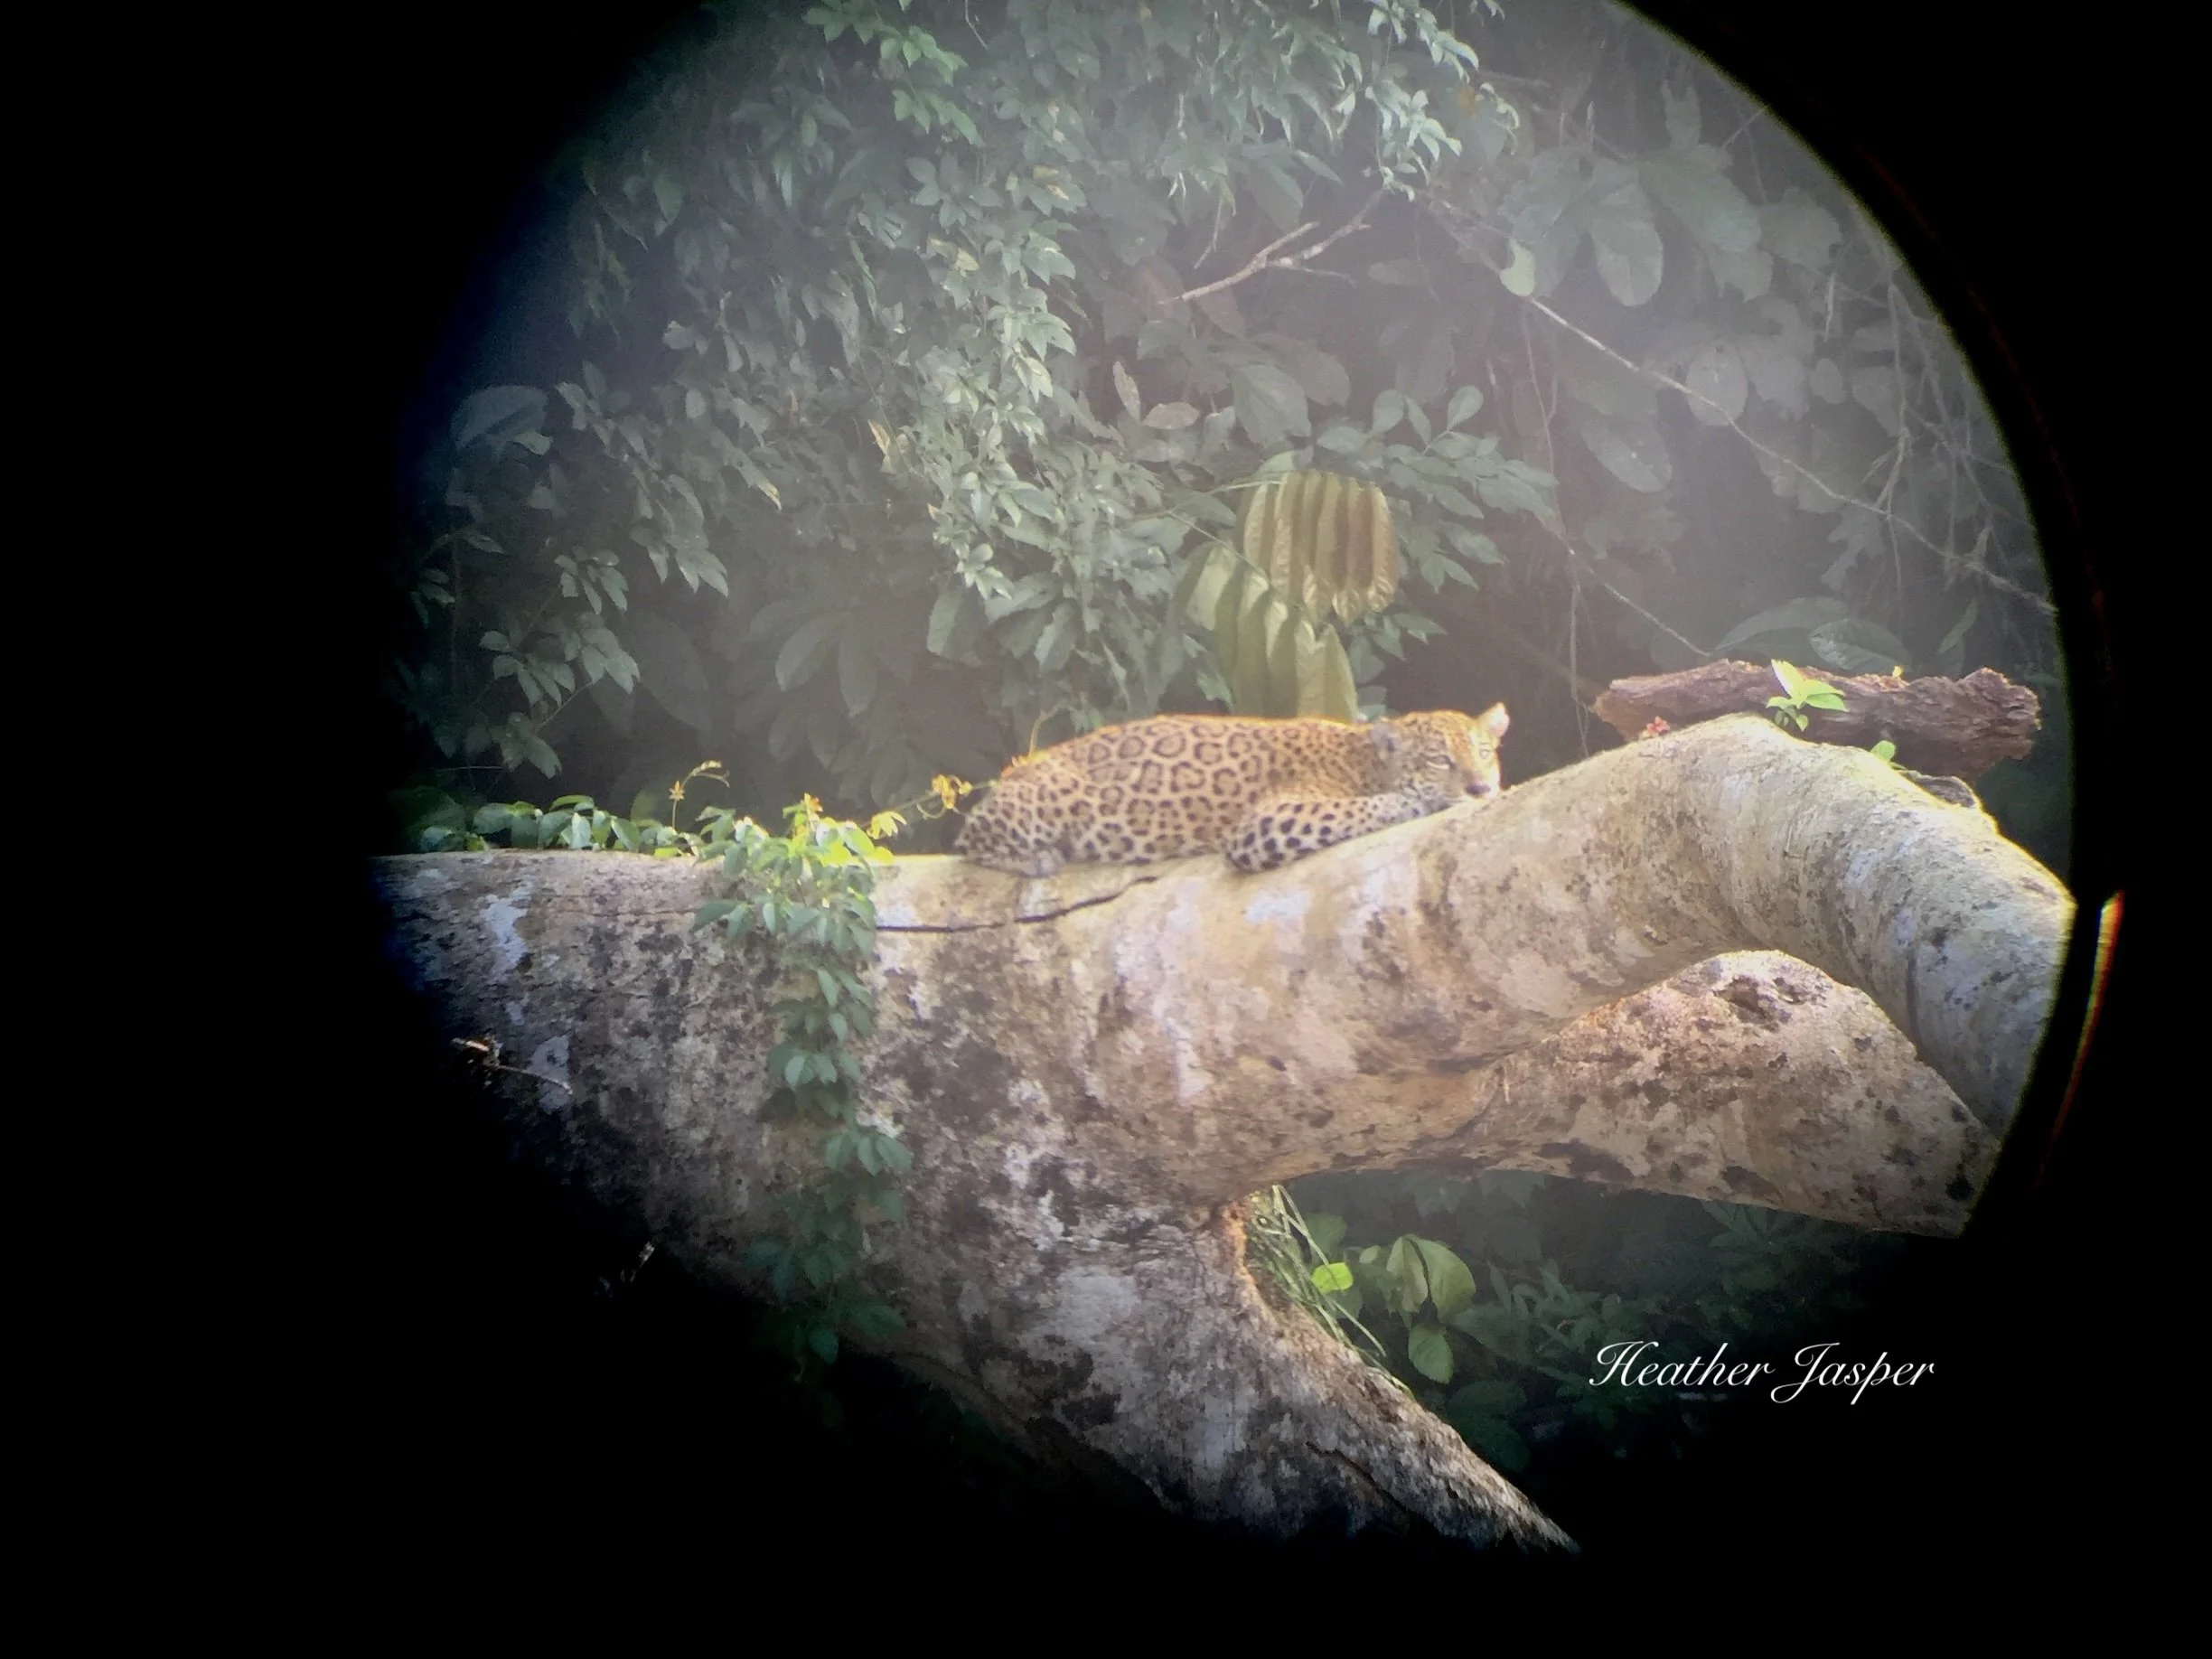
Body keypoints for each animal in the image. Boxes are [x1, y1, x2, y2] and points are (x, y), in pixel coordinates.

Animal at [954, 704, 1510, 876]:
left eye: (1484, 753)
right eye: (1440, 760)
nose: (1482, 788)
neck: (1363, 760)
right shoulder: (1268, 821)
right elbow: (1362, 808)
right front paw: (1415, 801)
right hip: (1048, 797)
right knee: (970, 838)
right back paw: (1036, 859)